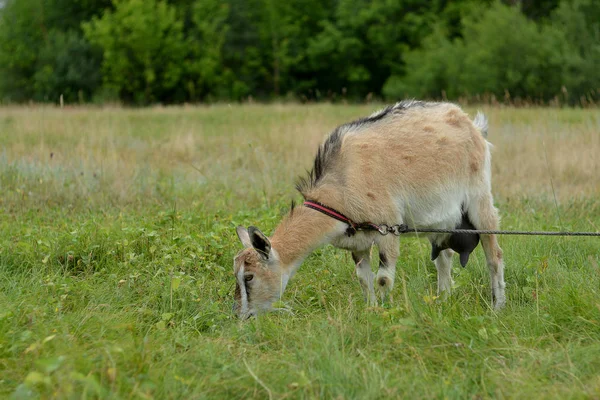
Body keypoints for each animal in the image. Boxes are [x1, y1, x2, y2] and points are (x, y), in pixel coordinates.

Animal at [232, 101, 504, 318]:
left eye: (249, 277)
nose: (240, 315)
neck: (339, 187)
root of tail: (473, 126)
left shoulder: (388, 227)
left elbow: (383, 278)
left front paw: (384, 311)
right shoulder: (359, 240)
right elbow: (364, 278)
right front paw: (371, 309)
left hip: (479, 197)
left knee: (494, 254)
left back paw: (498, 305)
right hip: (439, 218)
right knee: (444, 257)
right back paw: (443, 299)